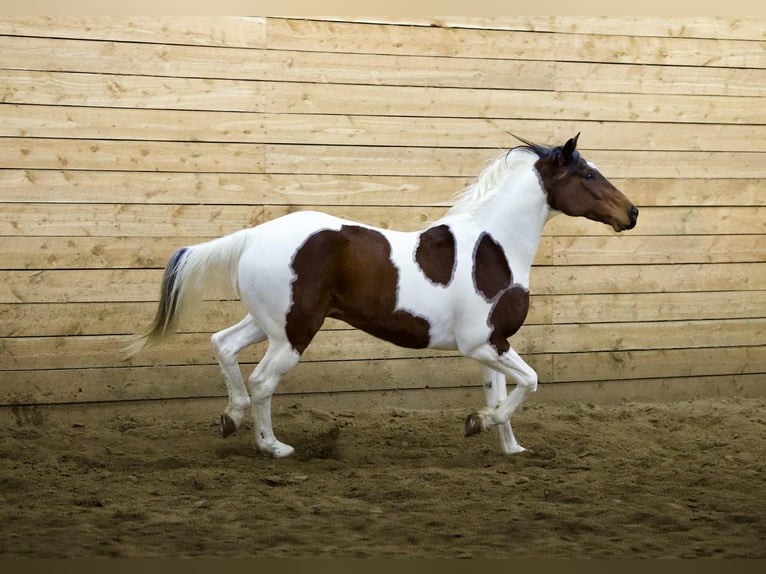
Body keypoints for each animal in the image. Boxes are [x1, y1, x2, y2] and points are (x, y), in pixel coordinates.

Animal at [128, 134, 638, 458]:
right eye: (588, 176)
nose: (631, 213)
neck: (495, 248)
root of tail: (253, 236)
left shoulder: (490, 346)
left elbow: (501, 393)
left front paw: (509, 446)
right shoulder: (484, 343)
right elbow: (530, 382)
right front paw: (479, 424)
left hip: (272, 322)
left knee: (223, 345)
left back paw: (230, 418)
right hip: (295, 332)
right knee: (262, 381)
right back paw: (274, 447)